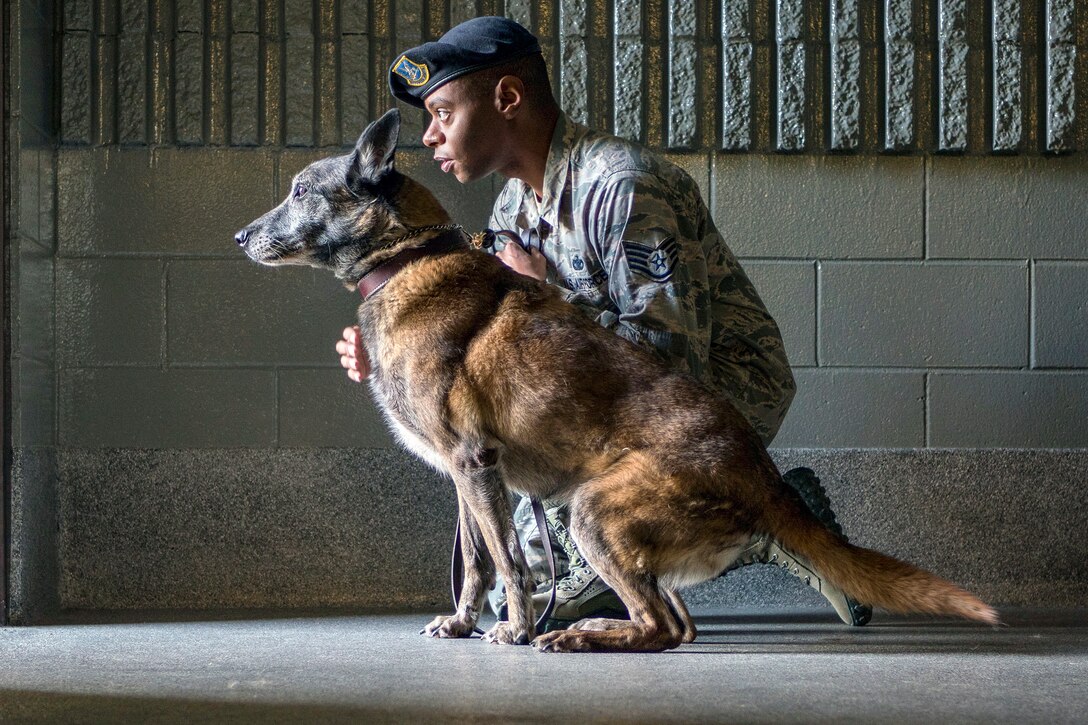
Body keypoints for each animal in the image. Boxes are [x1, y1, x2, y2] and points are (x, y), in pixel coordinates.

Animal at [236, 109, 996, 653]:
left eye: (299, 190)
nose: (240, 237)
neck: (408, 258)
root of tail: (759, 470)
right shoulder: (463, 477)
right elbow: (477, 563)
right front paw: (460, 623)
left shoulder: (475, 464)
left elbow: (508, 565)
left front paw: (514, 629)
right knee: (676, 621)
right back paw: (597, 627)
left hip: (591, 510)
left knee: (662, 625)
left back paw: (572, 635)